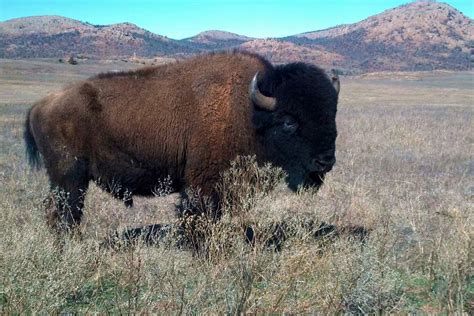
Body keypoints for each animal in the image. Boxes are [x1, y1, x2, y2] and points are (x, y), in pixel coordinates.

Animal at [24, 51, 338, 233]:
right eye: (288, 121)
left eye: (332, 113)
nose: (326, 160)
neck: (249, 112)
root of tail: (40, 105)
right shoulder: (203, 183)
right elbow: (199, 215)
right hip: (69, 179)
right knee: (65, 212)